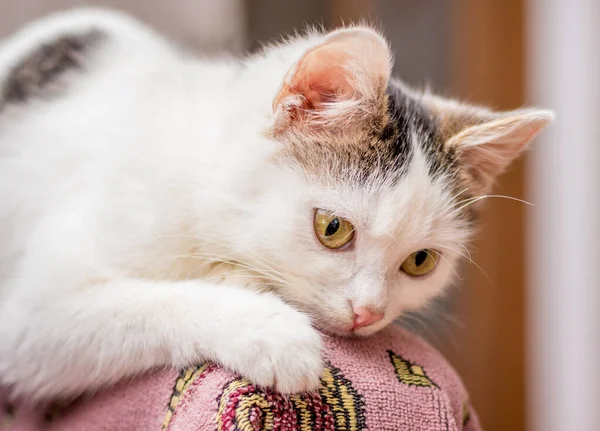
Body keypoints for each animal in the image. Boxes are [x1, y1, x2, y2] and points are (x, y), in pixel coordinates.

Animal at [0, 8, 552, 402]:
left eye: (420, 262)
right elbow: (146, 302)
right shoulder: (26, 319)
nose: (367, 313)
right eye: (332, 228)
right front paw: (270, 331)